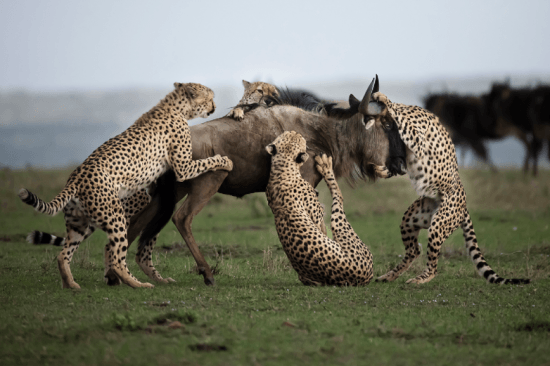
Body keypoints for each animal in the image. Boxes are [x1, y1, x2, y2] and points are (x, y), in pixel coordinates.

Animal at [18, 82, 234, 288]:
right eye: (210, 98)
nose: (214, 106)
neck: (176, 106)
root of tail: (75, 177)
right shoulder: (183, 168)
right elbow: (207, 162)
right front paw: (225, 161)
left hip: (78, 224)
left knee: (63, 255)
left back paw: (71, 285)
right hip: (116, 218)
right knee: (116, 259)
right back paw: (139, 284)